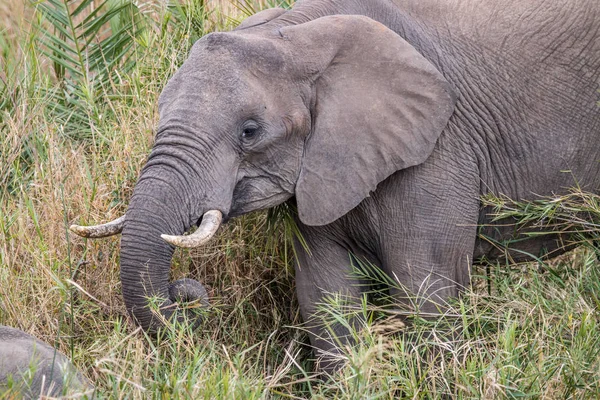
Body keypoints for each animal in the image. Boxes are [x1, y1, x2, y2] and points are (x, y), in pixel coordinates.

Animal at [71, 0, 600, 372]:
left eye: (250, 131)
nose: (186, 293)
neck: (297, 34)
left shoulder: (438, 147)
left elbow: (427, 287)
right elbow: (327, 296)